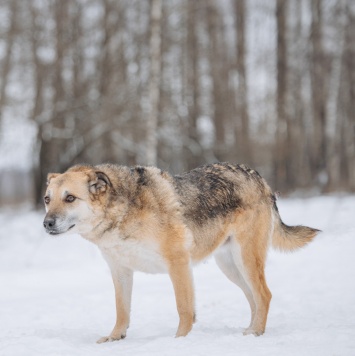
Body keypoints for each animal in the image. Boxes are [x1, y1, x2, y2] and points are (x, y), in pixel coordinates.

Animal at [42, 163, 320, 342]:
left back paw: (255, 334)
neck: (121, 214)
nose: (46, 223)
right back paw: (251, 332)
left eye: (70, 198)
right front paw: (115, 337)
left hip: (246, 260)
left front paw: (179, 341)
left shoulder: (178, 264)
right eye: (47, 199)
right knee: (254, 299)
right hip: (231, 268)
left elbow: (184, 309)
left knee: (265, 295)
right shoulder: (120, 270)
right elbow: (122, 310)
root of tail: (260, 179)